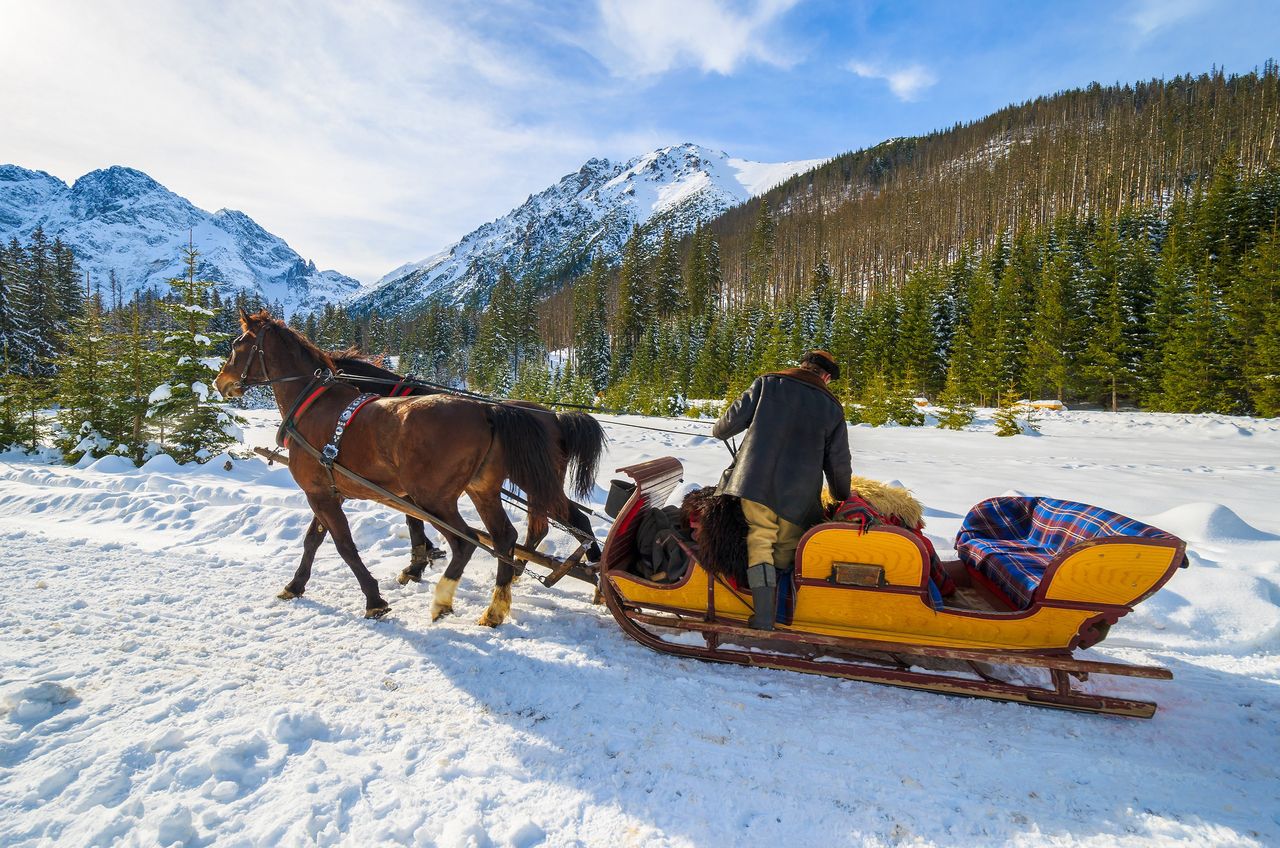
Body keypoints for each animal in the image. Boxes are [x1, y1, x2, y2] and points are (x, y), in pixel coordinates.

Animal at [212, 308, 563, 627]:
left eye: (237, 344)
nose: (219, 382)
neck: (312, 406)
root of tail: (486, 411)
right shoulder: (330, 491)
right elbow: (313, 539)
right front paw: (295, 585)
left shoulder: (319, 493)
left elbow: (345, 546)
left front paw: (374, 600)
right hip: (481, 490)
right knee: (505, 538)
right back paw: (495, 609)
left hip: (433, 499)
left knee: (465, 542)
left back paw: (442, 600)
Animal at [330, 348, 609, 584]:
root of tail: (557, 418)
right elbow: (416, 519)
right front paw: (428, 554)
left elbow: (414, 520)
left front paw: (416, 565)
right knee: (563, 522)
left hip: (534, 480)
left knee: (566, 520)